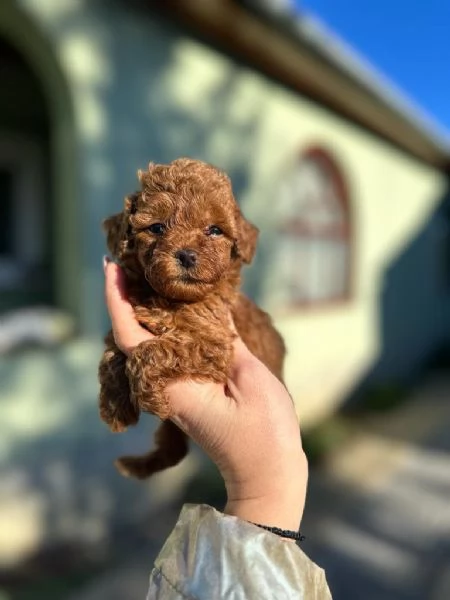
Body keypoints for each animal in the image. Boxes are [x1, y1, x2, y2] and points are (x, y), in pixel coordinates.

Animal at [98, 158, 284, 478]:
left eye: (214, 230)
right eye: (157, 227)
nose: (186, 255)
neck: (172, 300)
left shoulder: (214, 343)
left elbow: (149, 352)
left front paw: (148, 395)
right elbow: (113, 351)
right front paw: (114, 404)